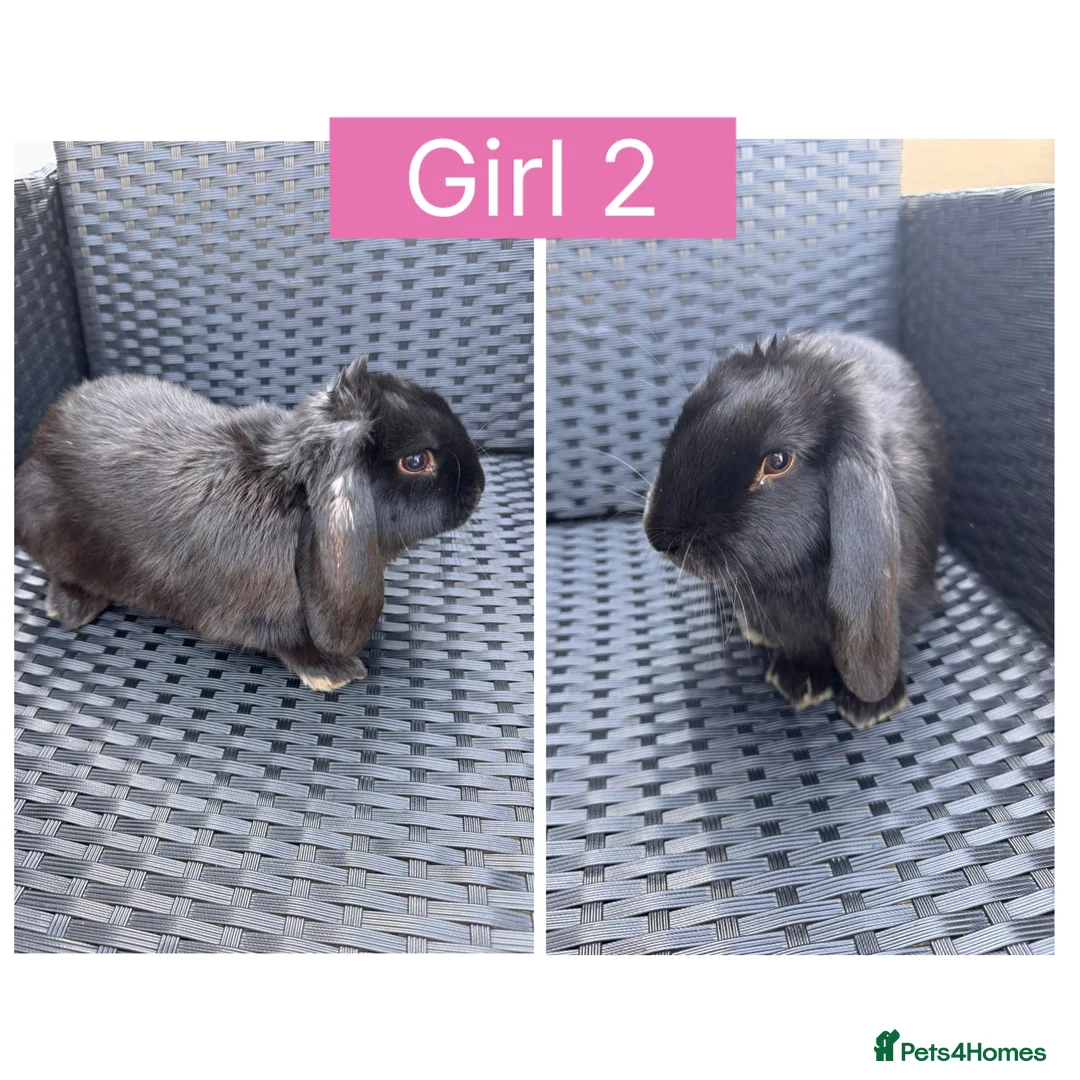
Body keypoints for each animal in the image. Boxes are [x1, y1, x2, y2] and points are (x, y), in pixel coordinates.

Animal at [14, 356, 485, 692]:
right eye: (416, 461)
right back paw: (71, 608)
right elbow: (286, 642)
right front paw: (334, 671)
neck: (291, 495)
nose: (478, 486)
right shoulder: (252, 617)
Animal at [643, 332, 948, 728]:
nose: (659, 536)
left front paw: (874, 706)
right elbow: (799, 646)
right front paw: (797, 683)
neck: (792, 579)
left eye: (777, 461)